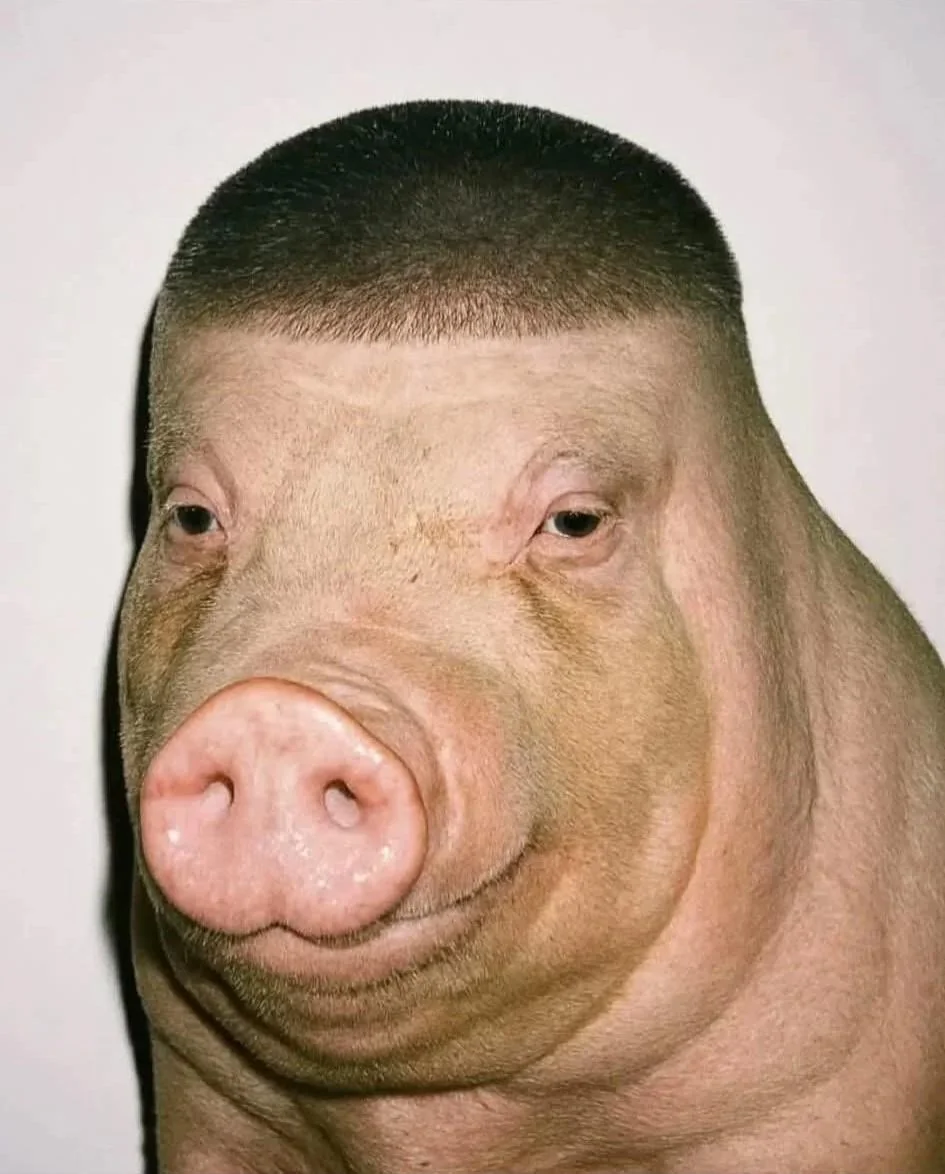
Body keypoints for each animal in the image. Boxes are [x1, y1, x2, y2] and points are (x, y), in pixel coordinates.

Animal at [118, 100, 945, 1173]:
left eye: (575, 522)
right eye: (191, 516)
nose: (275, 713)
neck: (432, 1122)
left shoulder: (809, 1097)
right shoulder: (199, 1090)